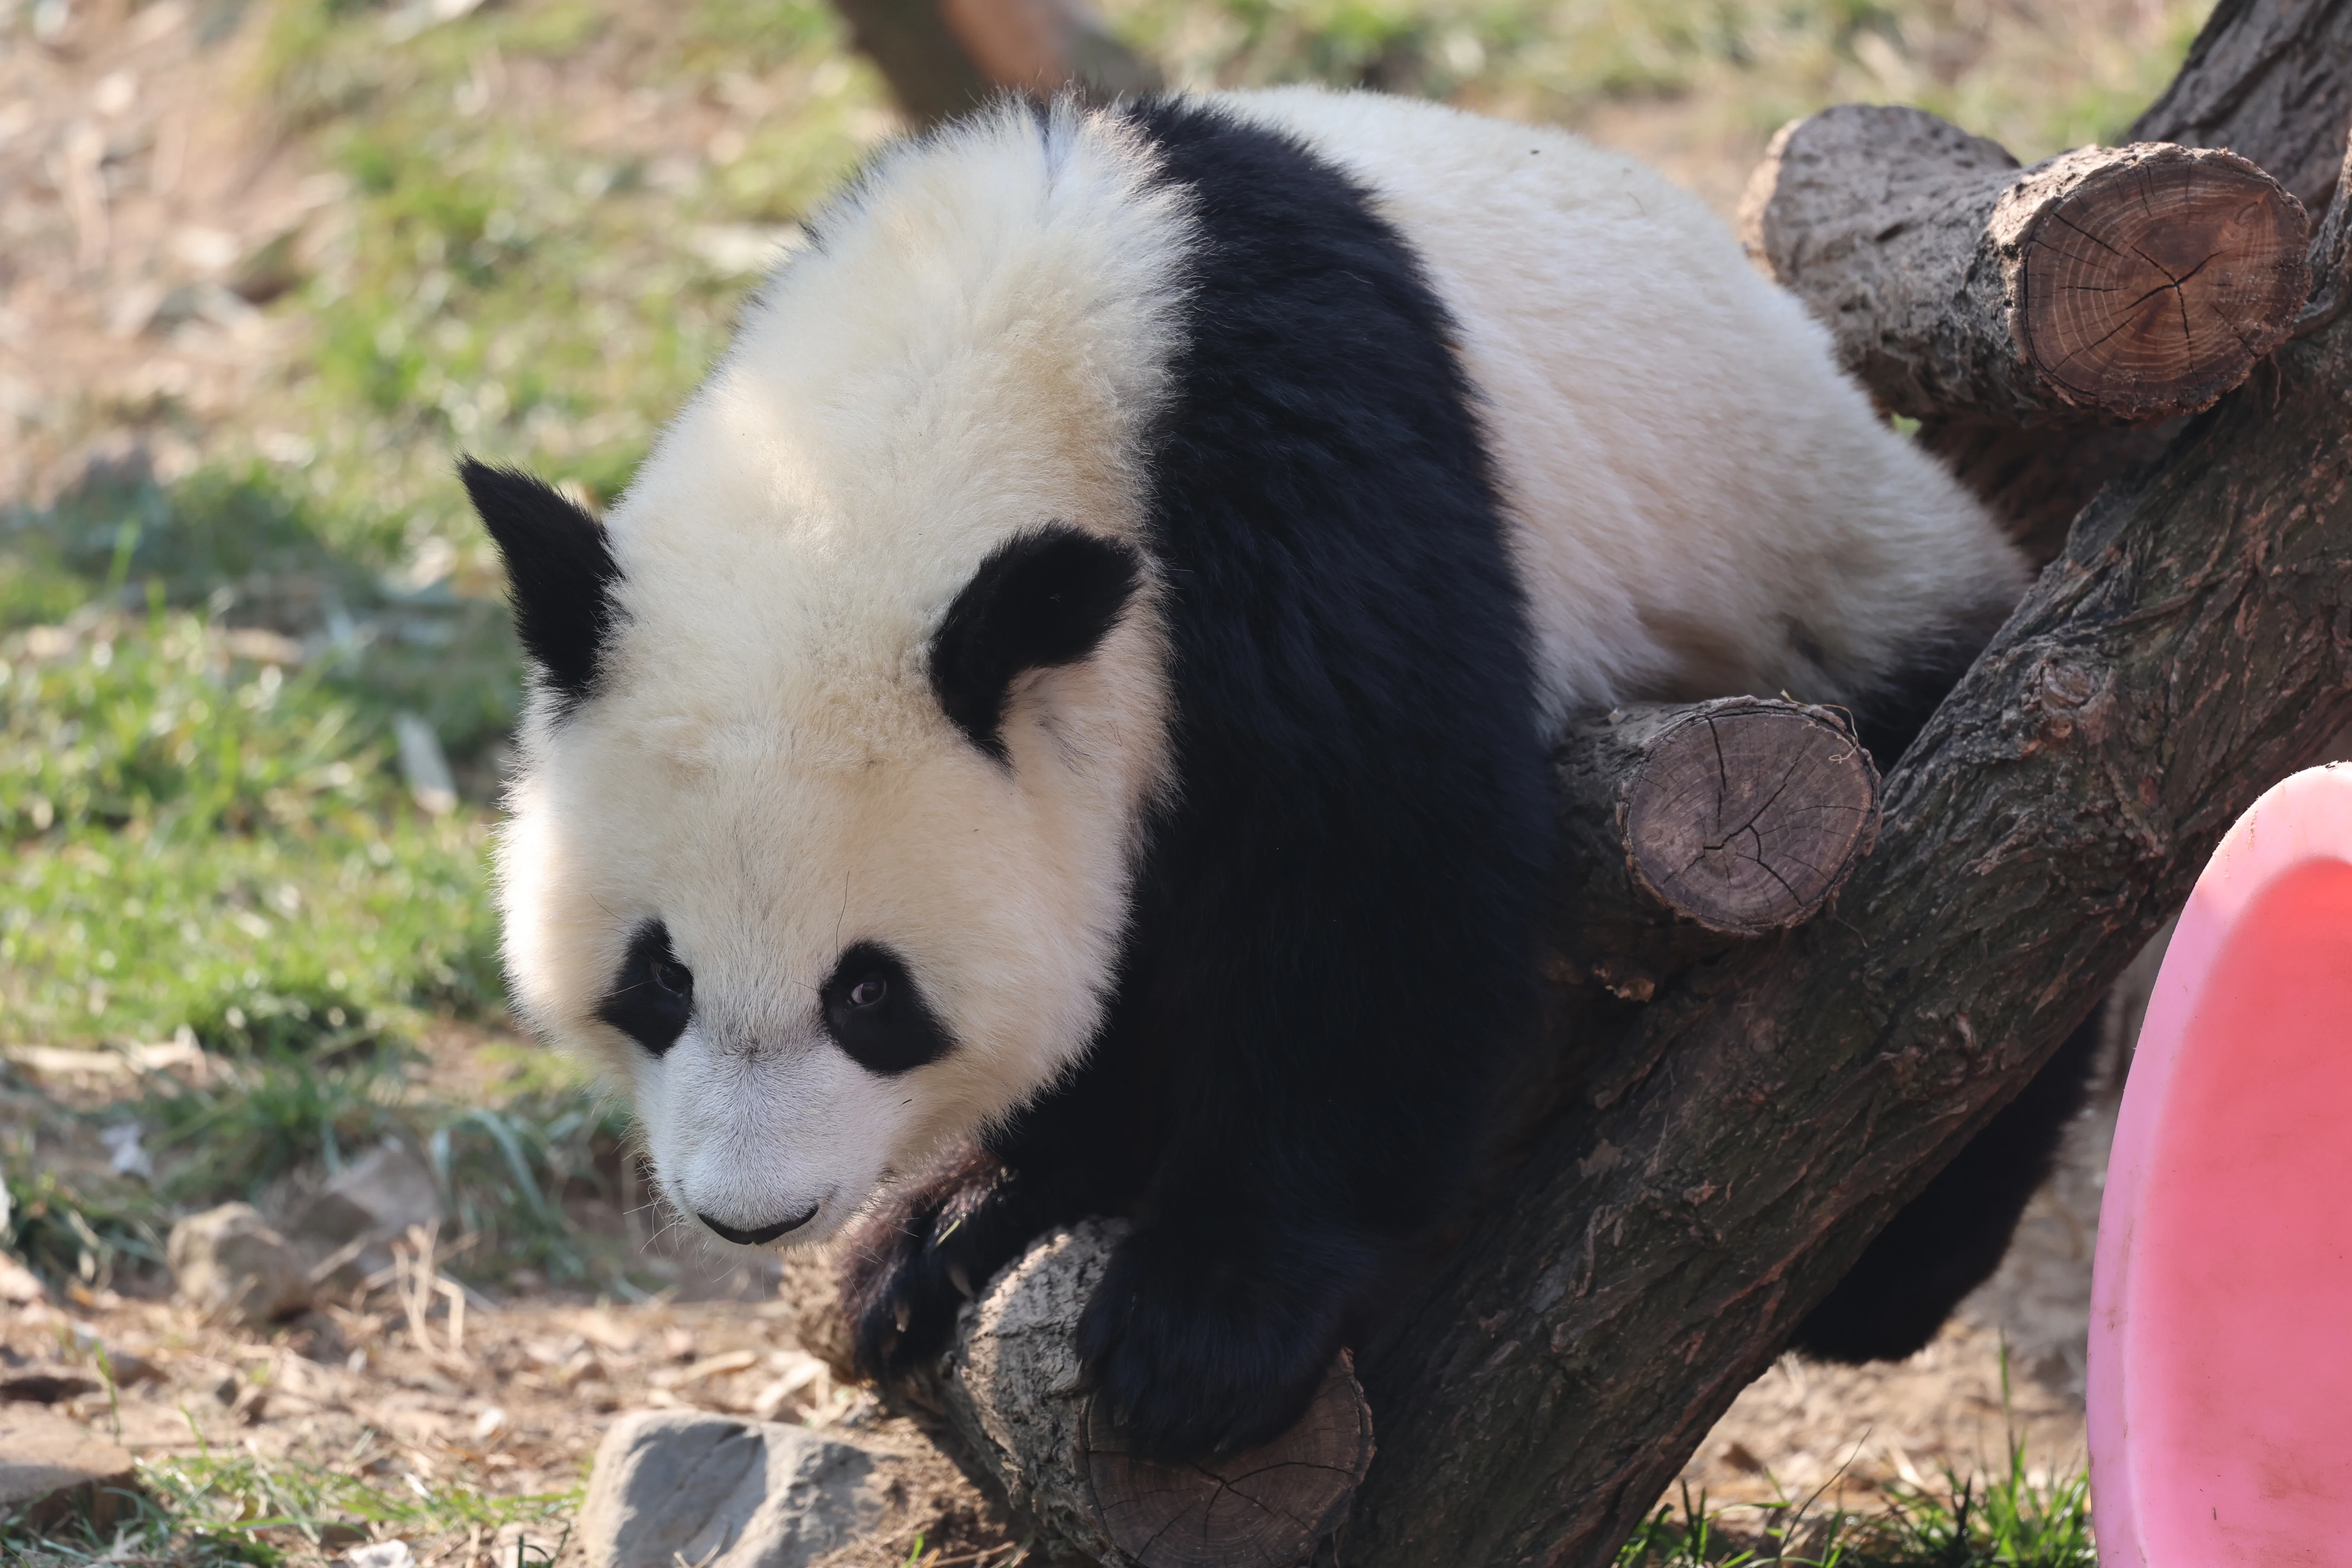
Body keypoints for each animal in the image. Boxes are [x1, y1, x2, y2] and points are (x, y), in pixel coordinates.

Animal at [464, 86, 2099, 1462]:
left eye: (870, 994)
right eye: (657, 976)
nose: (752, 1212)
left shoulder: (1295, 468)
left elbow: (1373, 869)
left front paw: (1203, 1329)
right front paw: (951, 1223)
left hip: (1816, 593)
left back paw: (1891, 1274)